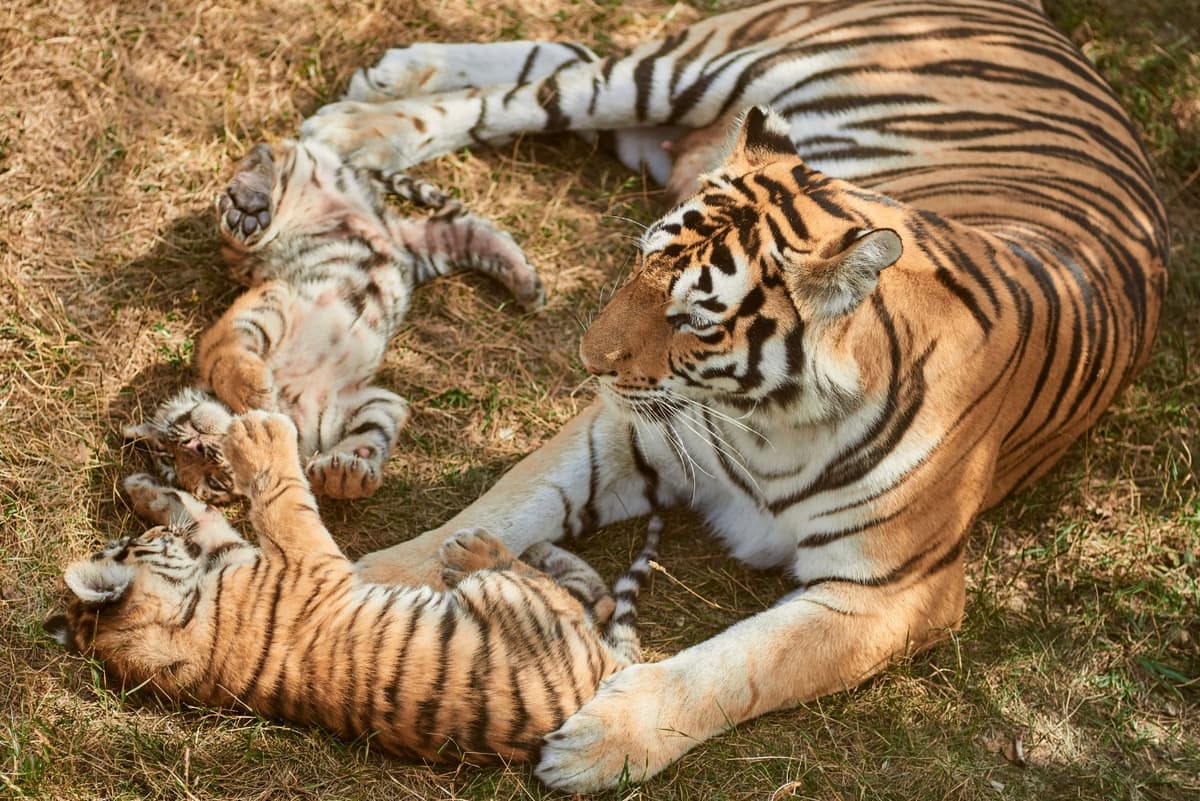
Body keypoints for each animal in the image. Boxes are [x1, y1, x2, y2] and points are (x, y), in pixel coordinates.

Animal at [46, 411, 660, 763]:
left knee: (598, 595)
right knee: (572, 594)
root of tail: (609, 670)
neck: (187, 617)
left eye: (129, 538)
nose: (146, 532)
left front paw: (143, 488)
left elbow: (202, 514)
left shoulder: (234, 552)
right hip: (512, 603)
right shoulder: (305, 559)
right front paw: (261, 433)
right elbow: (283, 497)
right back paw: (480, 551)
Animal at [124, 138, 545, 503]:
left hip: (295, 188)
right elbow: (373, 433)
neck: (288, 401)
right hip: (428, 250)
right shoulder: (368, 401)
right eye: (210, 482)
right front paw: (345, 473)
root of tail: (379, 219)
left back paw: (247, 202)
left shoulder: (275, 297)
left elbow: (221, 354)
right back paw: (529, 285)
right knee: (468, 230)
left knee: (269, 154)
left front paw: (253, 393)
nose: (197, 447)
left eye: (172, 444)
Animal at [293, 0, 1171, 791]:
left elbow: (744, 663)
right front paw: (371, 583)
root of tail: (1045, 23)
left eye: (694, 317)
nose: (588, 360)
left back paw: (389, 80)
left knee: (565, 58)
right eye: (638, 261)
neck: (773, 420)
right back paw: (357, 123)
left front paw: (605, 739)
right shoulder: (625, 433)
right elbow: (501, 506)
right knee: (542, 86)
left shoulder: (891, 590)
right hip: (697, 72)